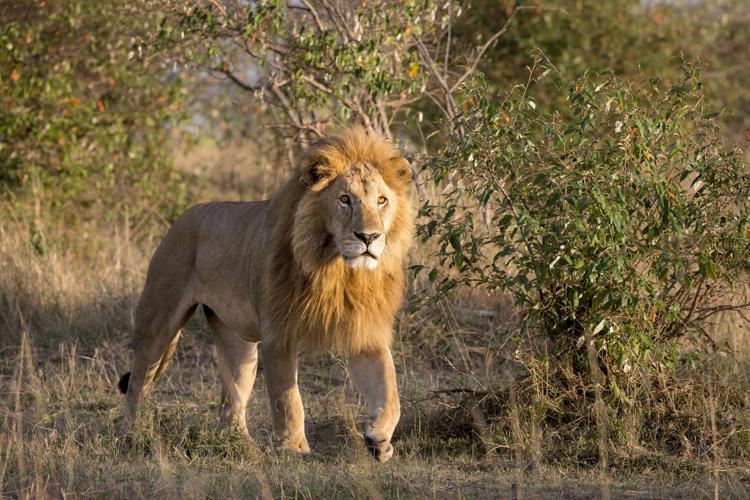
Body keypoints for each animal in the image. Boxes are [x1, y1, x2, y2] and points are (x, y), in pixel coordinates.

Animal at [120, 127, 420, 462]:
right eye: (345, 199)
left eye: (381, 200)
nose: (369, 237)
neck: (338, 271)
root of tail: (184, 216)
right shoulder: (279, 333)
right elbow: (287, 398)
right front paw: (293, 449)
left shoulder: (365, 333)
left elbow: (390, 393)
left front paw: (379, 440)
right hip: (158, 320)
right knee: (138, 381)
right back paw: (133, 434)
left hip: (237, 342)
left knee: (231, 398)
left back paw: (241, 445)